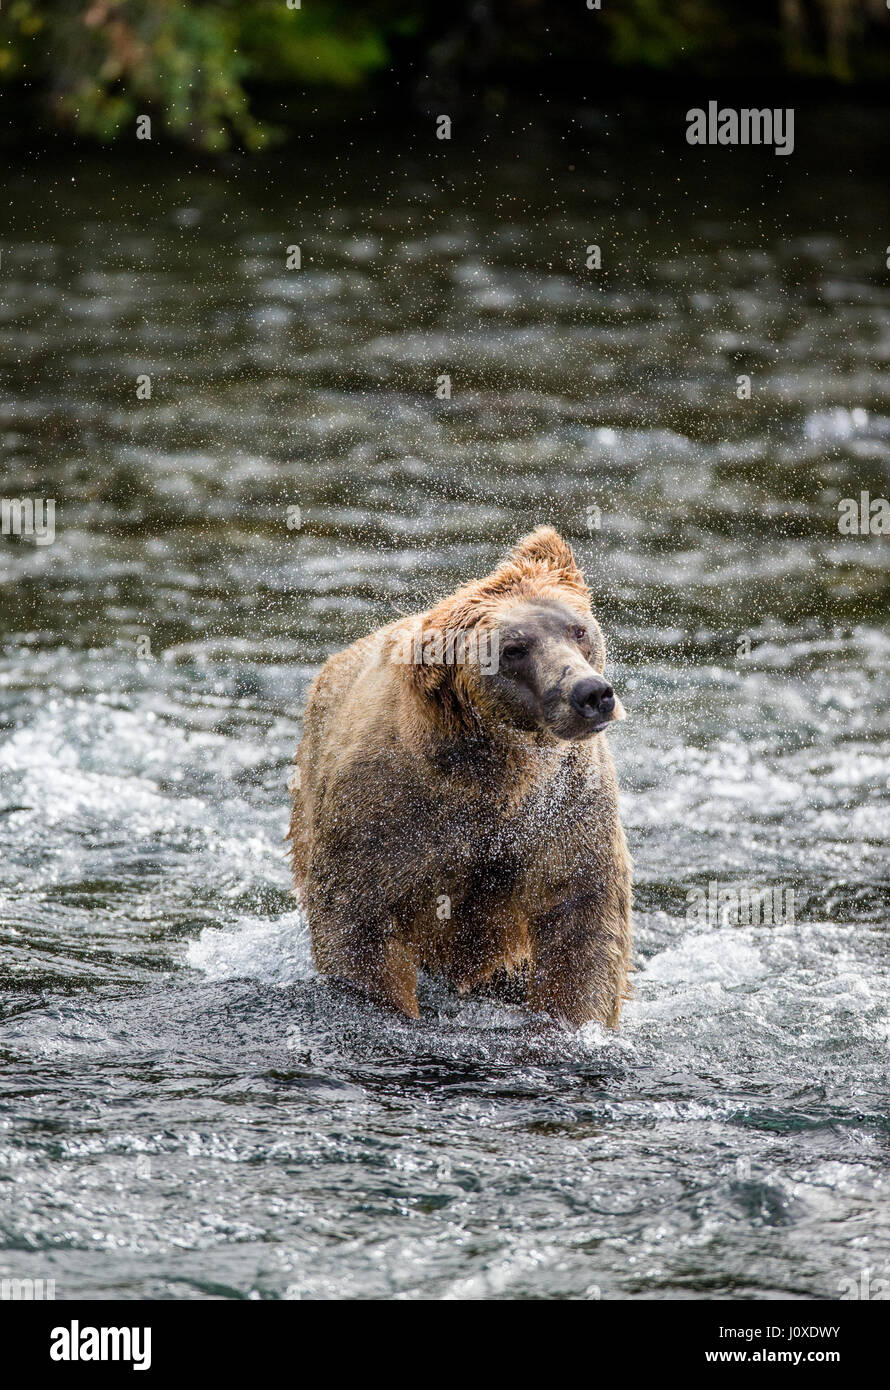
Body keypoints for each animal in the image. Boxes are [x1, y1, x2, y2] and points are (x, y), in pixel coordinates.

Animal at [288, 526, 632, 1027]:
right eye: (513, 649)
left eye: (579, 629)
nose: (591, 693)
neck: (496, 771)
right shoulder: (386, 811)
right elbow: (357, 922)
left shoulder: (565, 808)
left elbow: (582, 920)